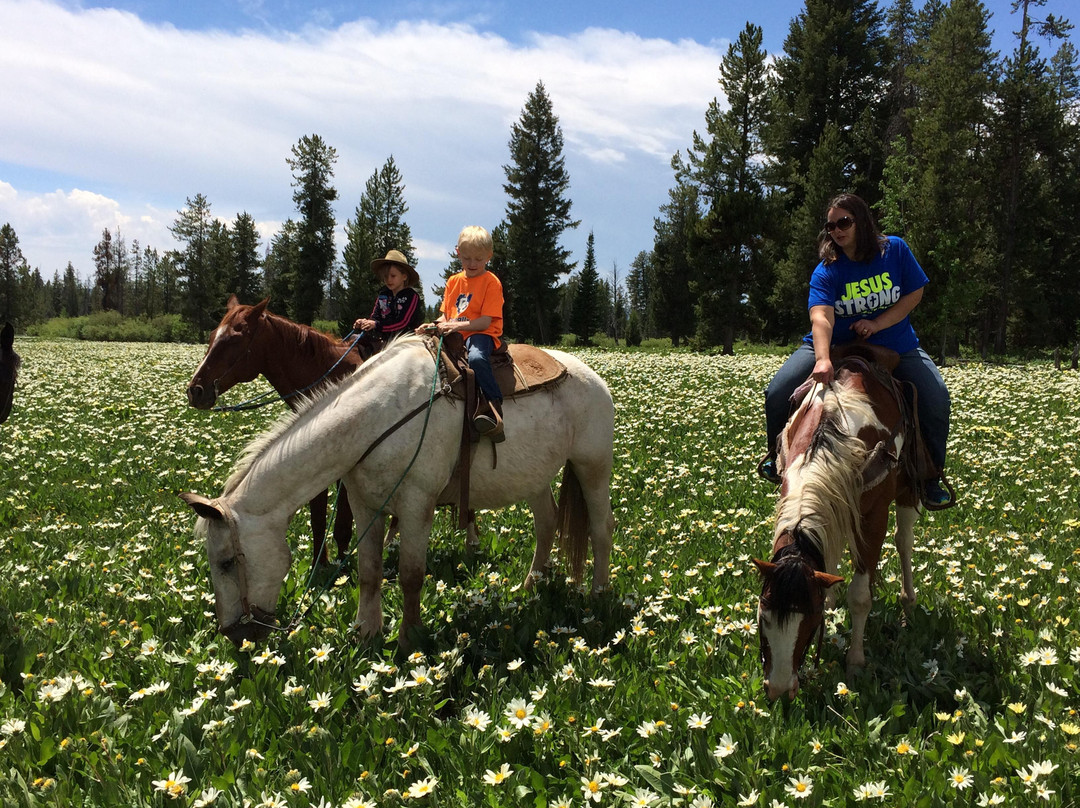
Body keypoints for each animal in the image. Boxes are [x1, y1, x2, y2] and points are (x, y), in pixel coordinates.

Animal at [180, 334, 615, 648]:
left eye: (226, 563)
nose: (235, 635)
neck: (377, 418)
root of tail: (594, 378)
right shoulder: (364, 504)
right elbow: (369, 572)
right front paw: (366, 633)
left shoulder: (416, 506)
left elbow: (410, 575)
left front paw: (409, 639)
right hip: (535, 478)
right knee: (546, 523)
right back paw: (529, 585)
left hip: (593, 467)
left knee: (600, 530)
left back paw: (598, 596)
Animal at [753, 346, 920, 701]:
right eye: (763, 616)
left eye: (811, 619)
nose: (779, 690)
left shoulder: (874, 519)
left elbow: (860, 596)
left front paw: (855, 661)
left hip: (908, 493)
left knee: (904, 541)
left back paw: (907, 602)